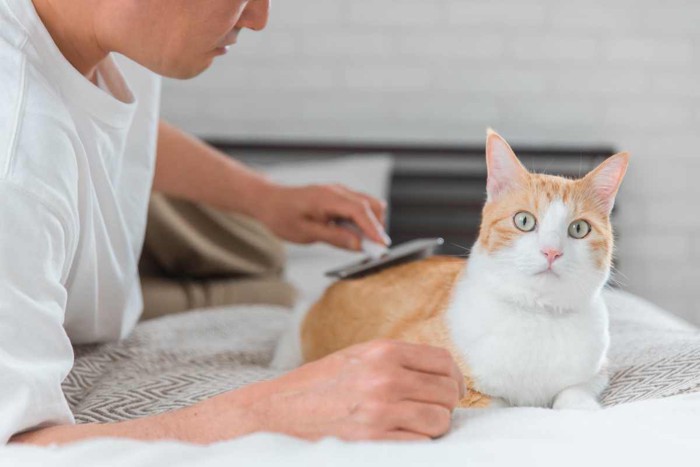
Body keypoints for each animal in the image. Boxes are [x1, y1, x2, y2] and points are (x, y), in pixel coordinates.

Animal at [272, 130, 628, 412]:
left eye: (579, 229)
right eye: (524, 221)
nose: (552, 251)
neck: (537, 315)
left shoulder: (598, 370)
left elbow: (573, 392)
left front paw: (583, 410)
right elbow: (495, 402)